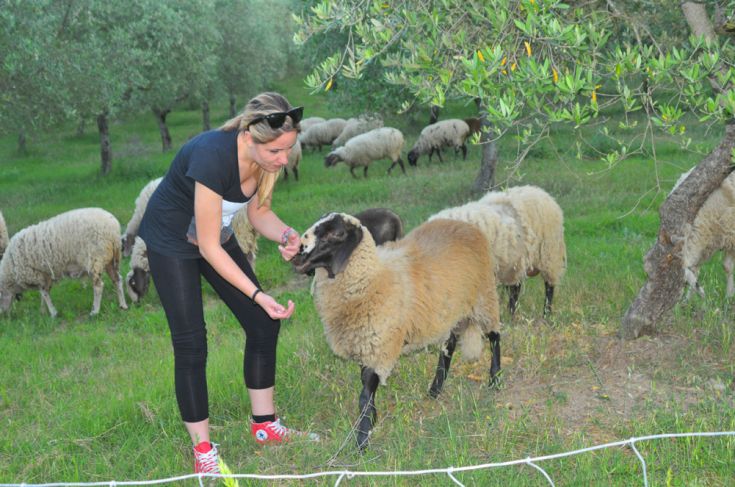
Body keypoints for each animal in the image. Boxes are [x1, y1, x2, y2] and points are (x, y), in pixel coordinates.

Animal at [0, 208, 128, 317]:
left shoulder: (37, 274)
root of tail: (113, 228)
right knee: (117, 280)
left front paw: (52, 313)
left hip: (95, 259)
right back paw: (123, 305)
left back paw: (94, 311)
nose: (3, 315)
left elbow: (44, 293)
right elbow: (44, 294)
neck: (10, 269)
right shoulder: (45, 274)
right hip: (111, 260)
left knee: (98, 286)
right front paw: (43, 311)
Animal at [291, 213, 501, 450]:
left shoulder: (379, 345)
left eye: (335, 233)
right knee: (449, 344)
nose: (297, 254)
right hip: (450, 309)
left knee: (494, 336)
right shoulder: (367, 342)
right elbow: (365, 386)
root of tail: (467, 226)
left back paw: (495, 379)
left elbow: (364, 394)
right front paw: (371, 420)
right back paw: (435, 388)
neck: (372, 278)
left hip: (484, 297)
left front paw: (362, 440)